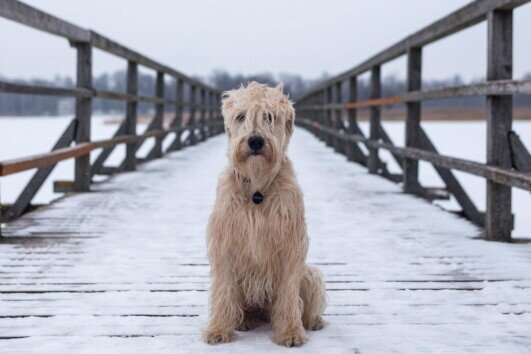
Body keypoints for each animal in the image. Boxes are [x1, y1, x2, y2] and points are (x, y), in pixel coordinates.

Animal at [205, 81, 326, 346]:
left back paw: (314, 321)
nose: (255, 141)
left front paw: (290, 332)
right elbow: (224, 291)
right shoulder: (225, 243)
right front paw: (218, 329)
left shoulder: (291, 245)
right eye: (241, 116)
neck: (257, 188)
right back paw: (245, 320)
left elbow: (289, 295)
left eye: (269, 117)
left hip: (310, 274)